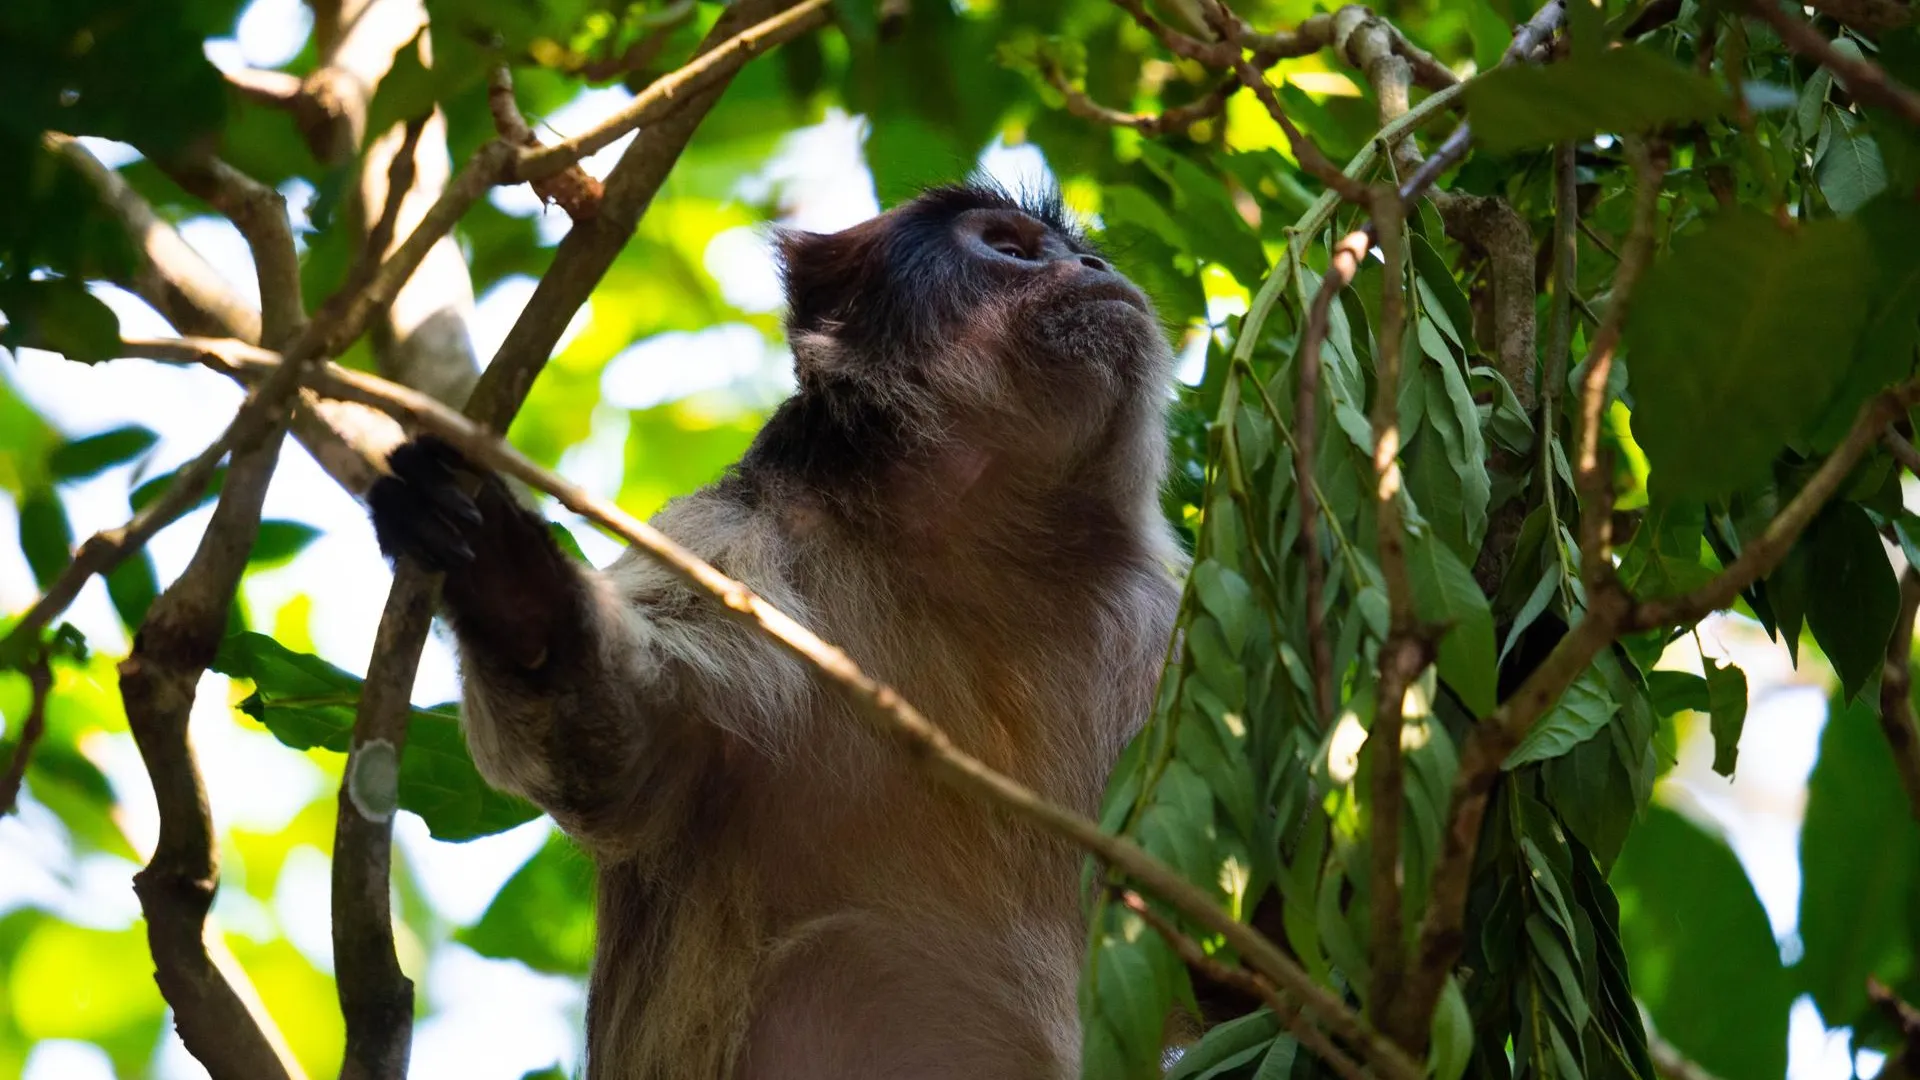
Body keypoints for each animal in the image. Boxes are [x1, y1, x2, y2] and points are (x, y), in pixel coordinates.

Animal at [362, 184, 1182, 1076]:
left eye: (1073, 252)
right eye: (1011, 248)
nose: (1089, 263)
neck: (987, 553)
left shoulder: (1156, 618)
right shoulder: (730, 532)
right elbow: (627, 762)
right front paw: (516, 602)